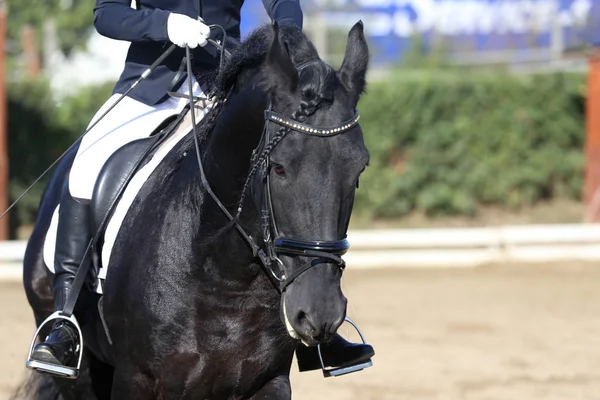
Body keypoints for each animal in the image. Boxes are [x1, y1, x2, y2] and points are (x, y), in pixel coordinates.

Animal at [19, 22, 370, 400]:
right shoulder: (135, 378)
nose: (321, 313)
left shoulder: (270, 381)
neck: (227, 275)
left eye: (359, 170)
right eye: (278, 168)